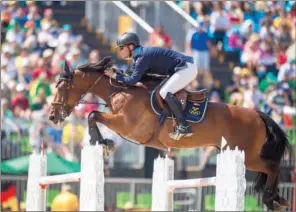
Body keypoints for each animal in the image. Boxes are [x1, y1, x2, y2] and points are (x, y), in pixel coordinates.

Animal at [49, 58, 290, 210]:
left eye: (61, 88)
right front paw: (102, 142)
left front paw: (103, 142)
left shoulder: (127, 125)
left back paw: (272, 199)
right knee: (271, 167)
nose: (52, 116)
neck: (120, 92)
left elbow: (93, 115)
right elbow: (94, 116)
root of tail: (257, 113)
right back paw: (276, 200)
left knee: (272, 166)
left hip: (245, 155)